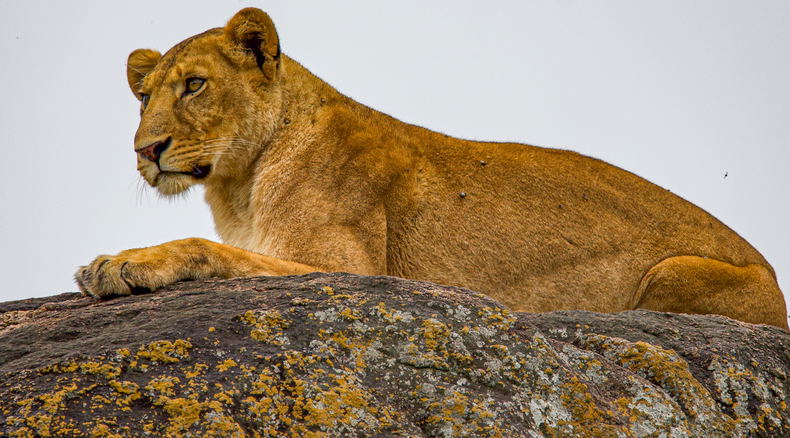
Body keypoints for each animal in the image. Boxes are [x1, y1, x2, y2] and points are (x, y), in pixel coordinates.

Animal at [76, 7, 788, 329]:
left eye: (194, 85)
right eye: (143, 96)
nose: (145, 150)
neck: (238, 186)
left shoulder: (347, 268)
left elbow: (207, 249)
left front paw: (118, 264)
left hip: (675, 273)